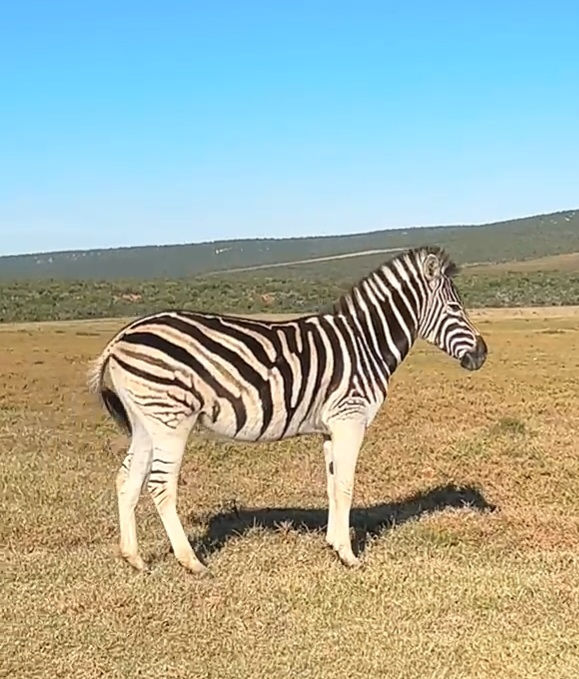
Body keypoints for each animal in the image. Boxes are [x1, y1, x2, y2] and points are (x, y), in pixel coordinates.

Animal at [88, 246, 487, 573]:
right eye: (455, 308)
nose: (482, 355)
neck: (365, 343)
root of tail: (120, 337)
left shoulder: (330, 427)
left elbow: (331, 485)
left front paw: (334, 544)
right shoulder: (350, 418)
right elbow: (346, 485)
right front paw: (349, 556)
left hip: (145, 422)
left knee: (127, 480)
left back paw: (135, 558)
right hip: (171, 420)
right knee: (160, 485)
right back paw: (192, 562)